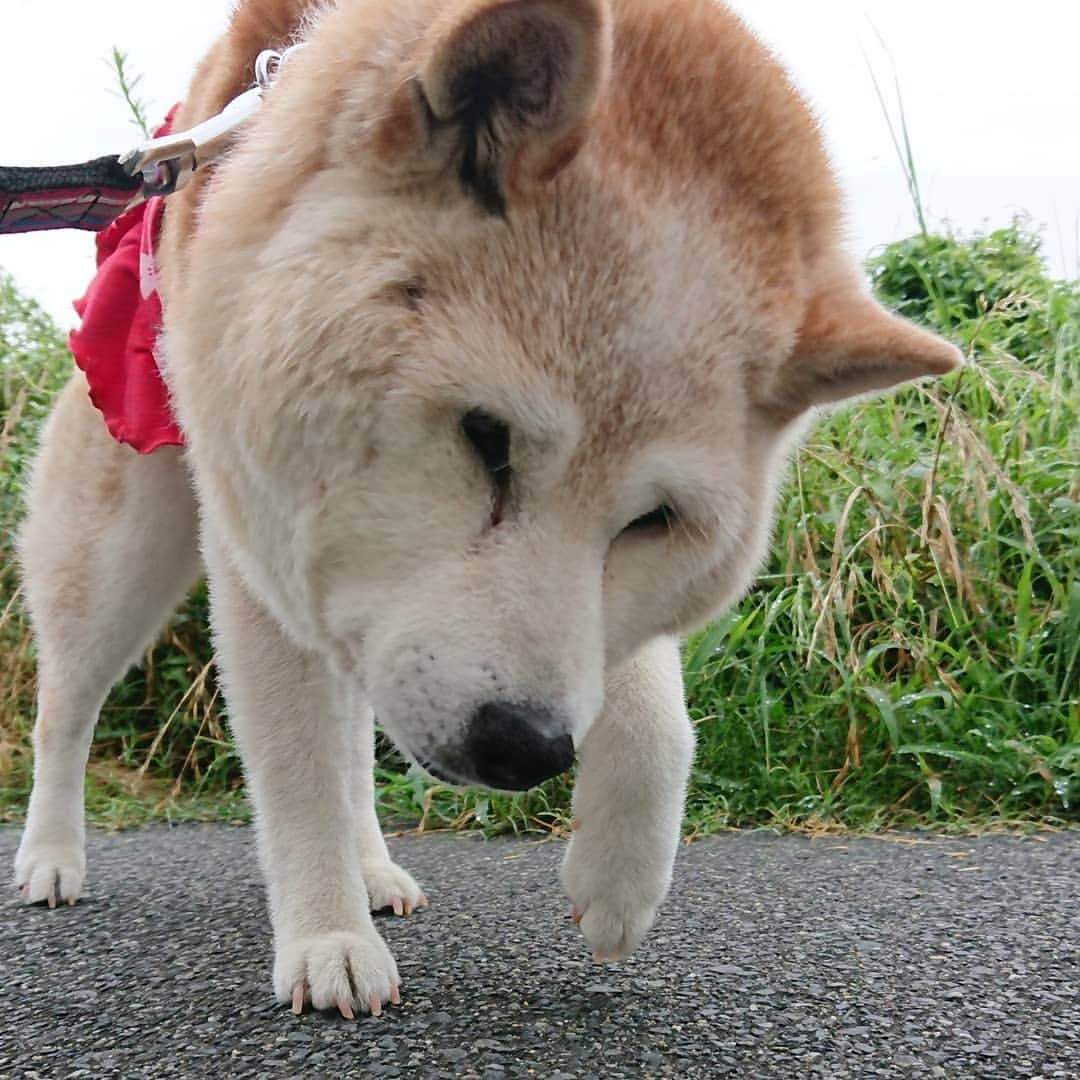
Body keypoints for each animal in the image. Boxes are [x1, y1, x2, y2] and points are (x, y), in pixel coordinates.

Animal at [12, 0, 959, 1015]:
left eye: (653, 521)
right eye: (487, 439)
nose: (525, 749)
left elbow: (654, 713)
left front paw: (620, 879)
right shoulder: (262, 543)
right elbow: (298, 767)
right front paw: (326, 936)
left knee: (353, 738)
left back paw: (375, 868)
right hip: (125, 551)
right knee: (65, 711)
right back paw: (52, 856)